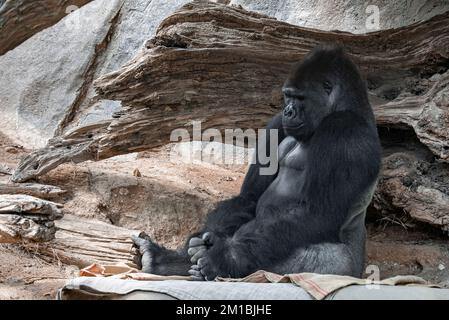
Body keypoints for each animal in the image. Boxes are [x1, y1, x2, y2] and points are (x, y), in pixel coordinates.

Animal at [131, 44, 380, 280]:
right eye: (288, 96)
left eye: (300, 98)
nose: (288, 111)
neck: (347, 107)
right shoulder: (278, 124)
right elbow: (249, 197)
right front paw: (203, 240)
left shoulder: (345, 130)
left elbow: (317, 213)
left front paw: (225, 258)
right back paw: (164, 260)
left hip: (343, 271)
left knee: (327, 258)